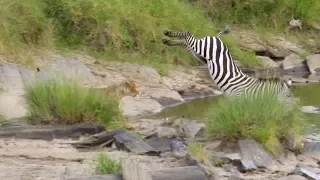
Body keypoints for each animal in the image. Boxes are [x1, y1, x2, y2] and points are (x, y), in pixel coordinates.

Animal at [161, 26, 296, 107]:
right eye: (289, 96)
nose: (295, 110)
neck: (257, 93)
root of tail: (217, 38)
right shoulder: (238, 97)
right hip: (201, 47)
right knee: (188, 35)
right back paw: (168, 33)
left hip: (199, 55)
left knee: (185, 42)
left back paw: (168, 41)